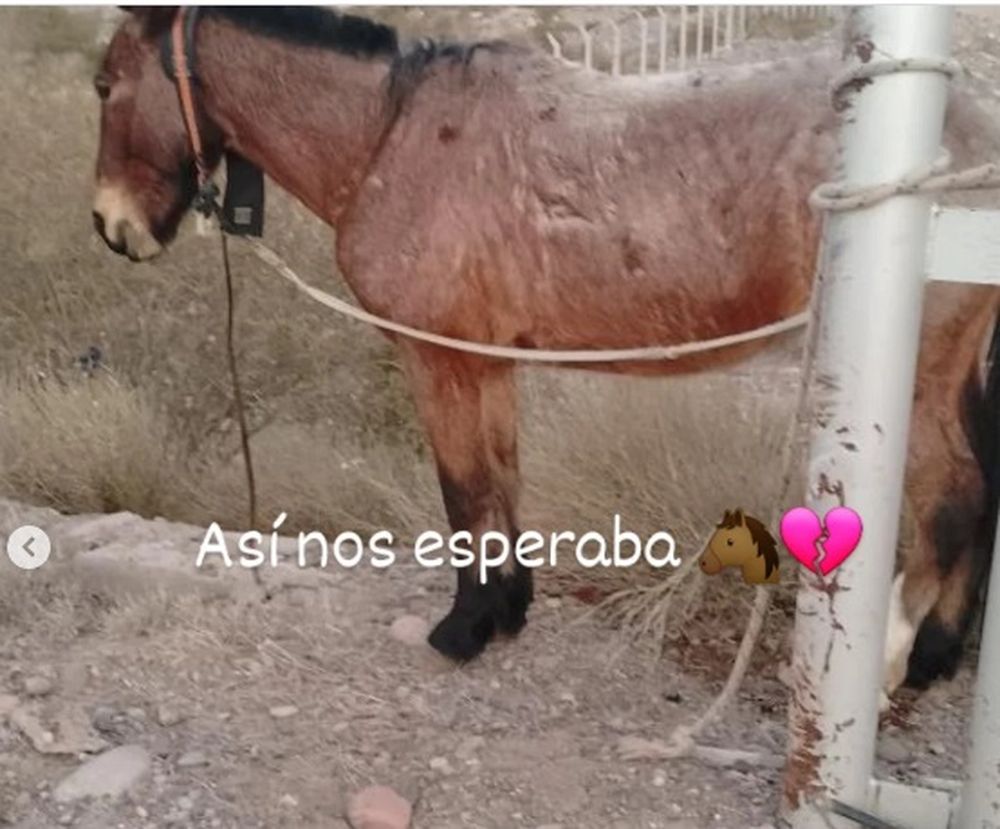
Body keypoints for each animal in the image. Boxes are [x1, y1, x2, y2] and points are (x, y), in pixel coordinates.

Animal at [91, 7, 1000, 700]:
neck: (391, 132)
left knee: (954, 497)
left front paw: (462, 628)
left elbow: (463, 493)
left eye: (105, 84)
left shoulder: (437, 361)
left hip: (919, 380)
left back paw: (897, 657)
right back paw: (941, 653)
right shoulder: (484, 361)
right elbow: (501, 481)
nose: (111, 226)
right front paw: (507, 610)